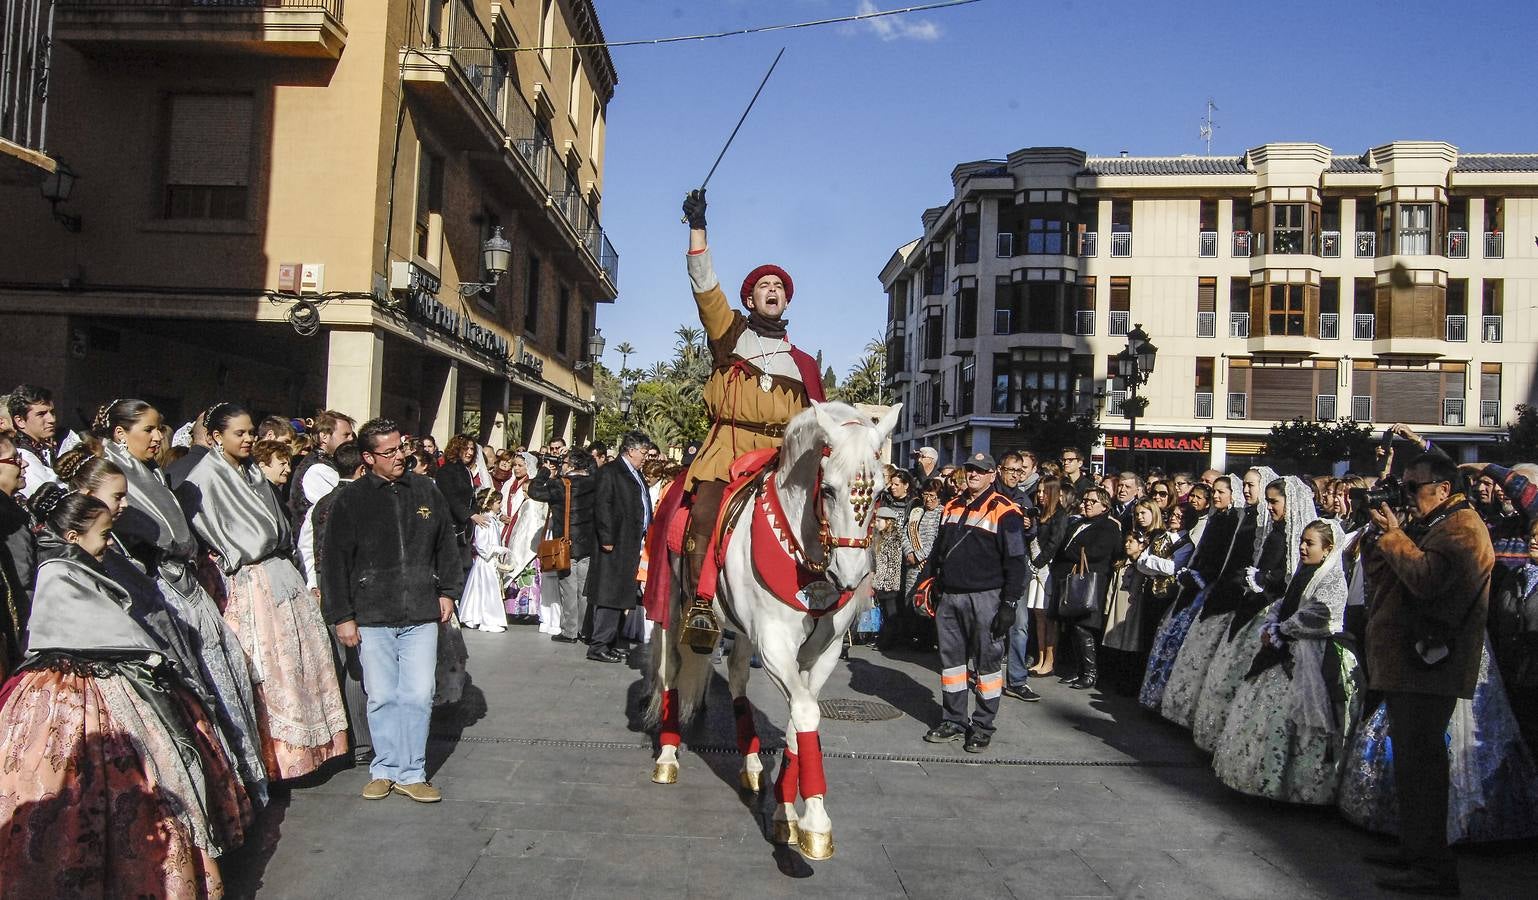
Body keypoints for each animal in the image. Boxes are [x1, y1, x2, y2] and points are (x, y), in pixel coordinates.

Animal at [639, 400, 898, 855]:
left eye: (881, 492)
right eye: (828, 489)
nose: (851, 576)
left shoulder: (824, 652)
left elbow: (799, 722)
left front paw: (787, 813)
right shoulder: (775, 645)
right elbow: (806, 712)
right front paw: (815, 822)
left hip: (743, 633)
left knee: (739, 680)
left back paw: (752, 763)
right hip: (669, 605)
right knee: (670, 671)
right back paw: (667, 757)